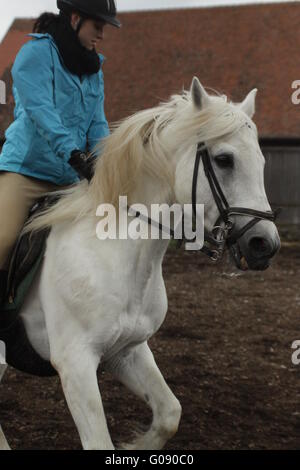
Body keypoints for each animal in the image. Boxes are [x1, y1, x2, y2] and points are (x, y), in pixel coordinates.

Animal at [0, 79, 278, 450]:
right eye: (224, 160)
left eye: (261, 160)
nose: (266, 244)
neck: (118, 256)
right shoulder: (75, 364)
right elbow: (100, 442)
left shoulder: (127, 351)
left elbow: (169, 414)